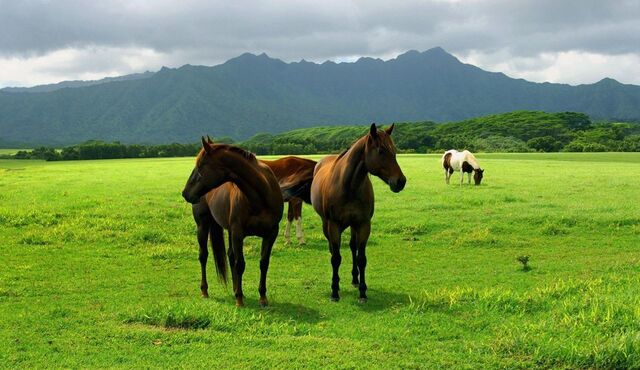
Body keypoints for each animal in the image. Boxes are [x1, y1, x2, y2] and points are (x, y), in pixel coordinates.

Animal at [180, 137, 280, 308]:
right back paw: (205, 290)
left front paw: (262, 297)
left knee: (230, 256)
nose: (185, 193)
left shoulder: (271, 233)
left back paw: (235, 289)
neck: (261, 195)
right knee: (203, 256)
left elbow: (264, 263)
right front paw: (239, 299)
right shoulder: (238, 233)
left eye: (200, 166)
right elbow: (240, 264)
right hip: (203, 226)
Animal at [310, 123, 404, 302]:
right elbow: (336, 258)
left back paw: (355, 278)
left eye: (394, 150)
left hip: (353, 225)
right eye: (381, 151)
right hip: (326, 224)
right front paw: (334, 291)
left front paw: (362, 291)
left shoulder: (363, 224)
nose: (401, 181)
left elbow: (361, 258)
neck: (349, 186)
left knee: (353, 247)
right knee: (333, 250)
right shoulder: (334, 225)